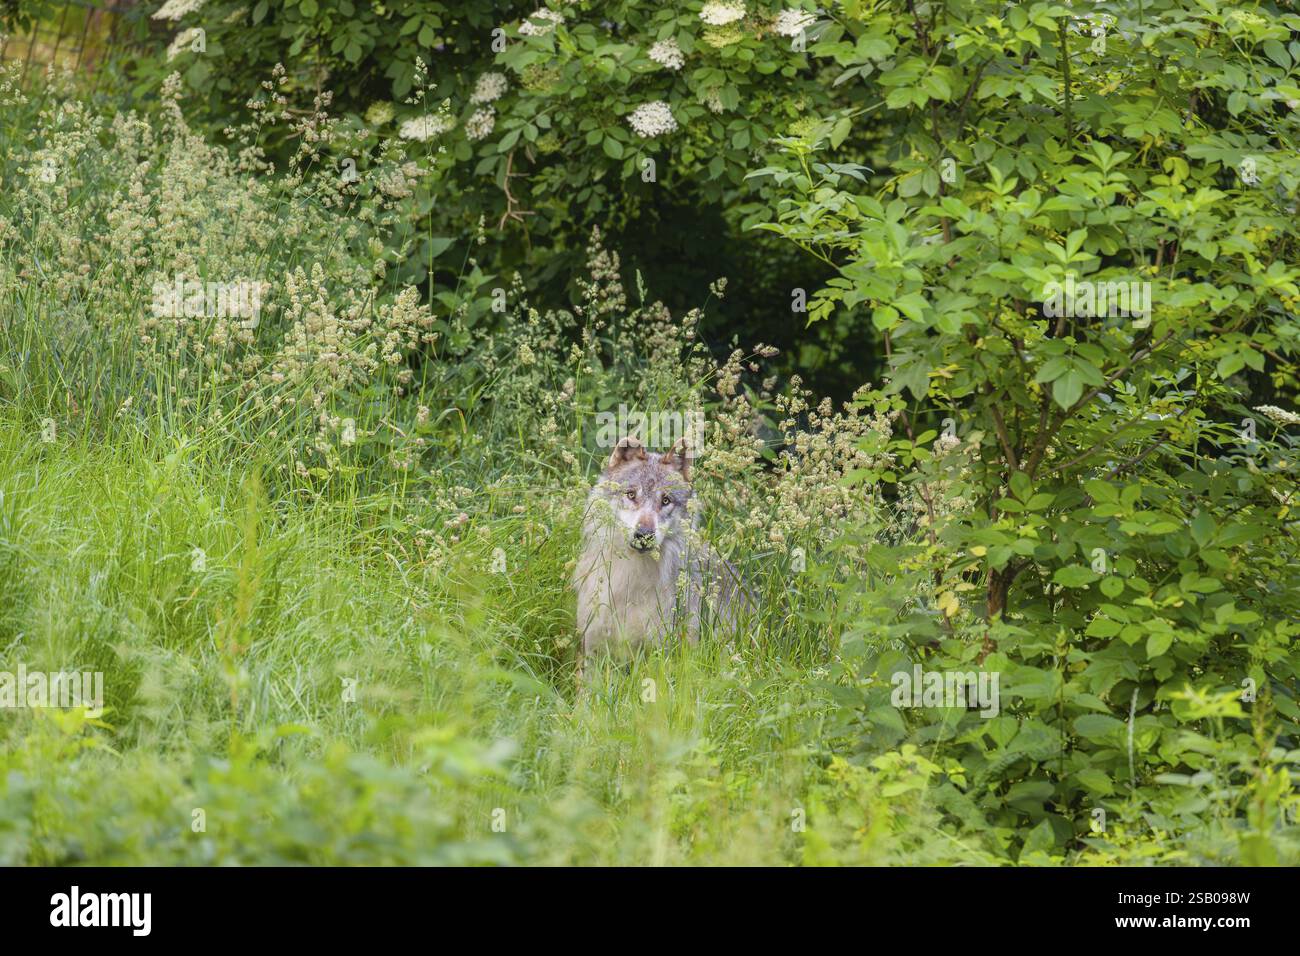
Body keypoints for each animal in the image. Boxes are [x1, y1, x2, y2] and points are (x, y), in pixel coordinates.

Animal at [573, 436, 754, 675]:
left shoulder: (661, 654)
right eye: (631, 494)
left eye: (665, 501)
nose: (644, 534)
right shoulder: (592, 651)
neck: (632, 580)